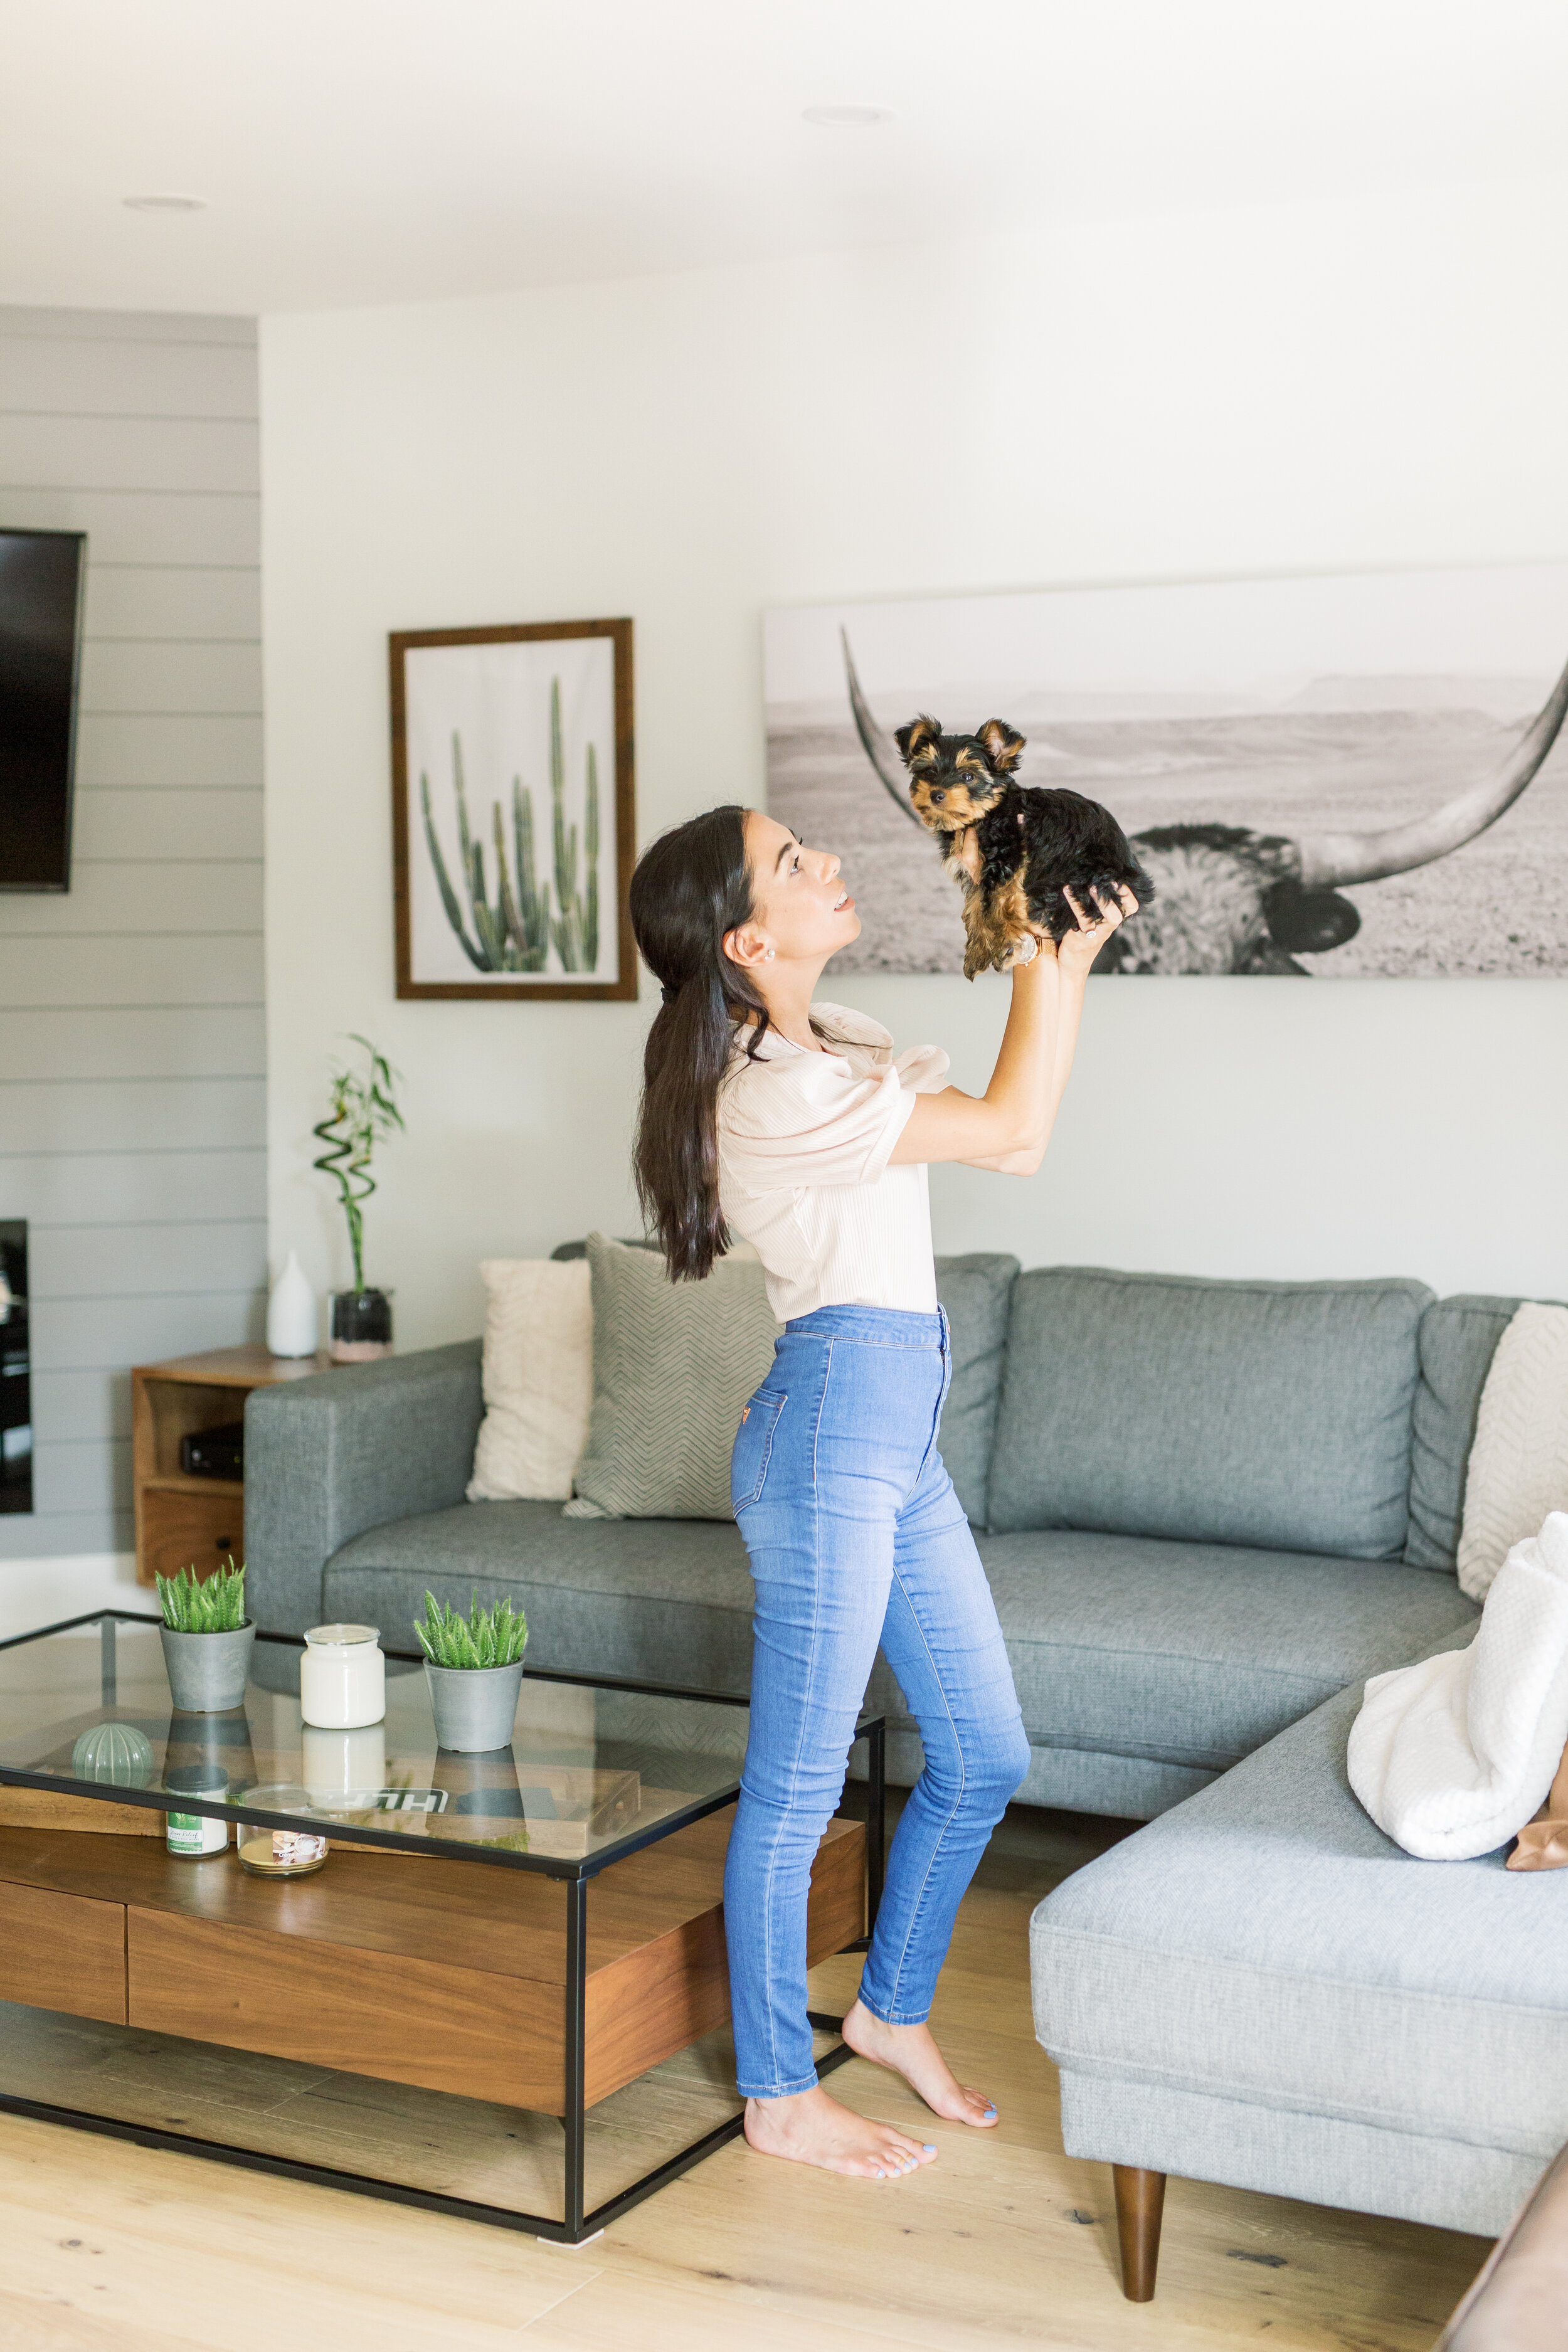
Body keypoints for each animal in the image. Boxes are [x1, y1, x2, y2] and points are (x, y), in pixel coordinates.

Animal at [893, 710, 1152, 978]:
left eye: (968, 776)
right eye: (928, 773)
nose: (937, 794)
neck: (986, 814)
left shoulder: (1008, 853)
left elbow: (997, 902)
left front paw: (1003, 945)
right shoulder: (978, 872)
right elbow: (976, 906)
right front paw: (978, 952)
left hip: (1081, 879)